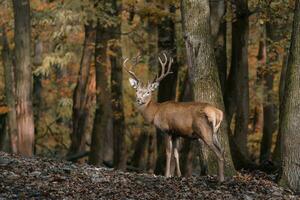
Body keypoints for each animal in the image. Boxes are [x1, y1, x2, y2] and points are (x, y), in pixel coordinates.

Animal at [124, 53, 225, 183]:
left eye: (148, 92)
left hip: (204, 131)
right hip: (215, 132)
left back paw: (221, 179)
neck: (155, 112)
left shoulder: (166, 130)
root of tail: (218, 113)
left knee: (218, 153)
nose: (139, 99)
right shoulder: (176, 133)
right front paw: (178, 175)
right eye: (137, 90)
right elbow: (176, 154)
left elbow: (168, 152)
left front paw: (167, 175)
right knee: (222, 150)